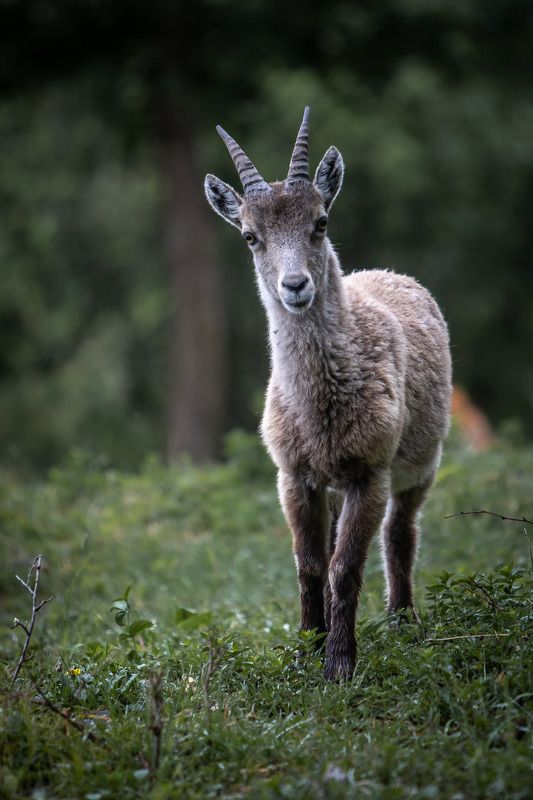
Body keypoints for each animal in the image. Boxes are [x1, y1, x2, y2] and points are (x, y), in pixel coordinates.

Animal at [205, 107, 452, 680]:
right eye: (249, 236)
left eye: (321, 222)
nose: (294, 286)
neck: (320, 407)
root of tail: (389, 273)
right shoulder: (295, 475)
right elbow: (311, 564)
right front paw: (306, 651)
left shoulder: (369, 472)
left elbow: (346, 567)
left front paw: (340, 664)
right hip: (334, 484)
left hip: (421, 464)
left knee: (400, 534)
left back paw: (402, 621)